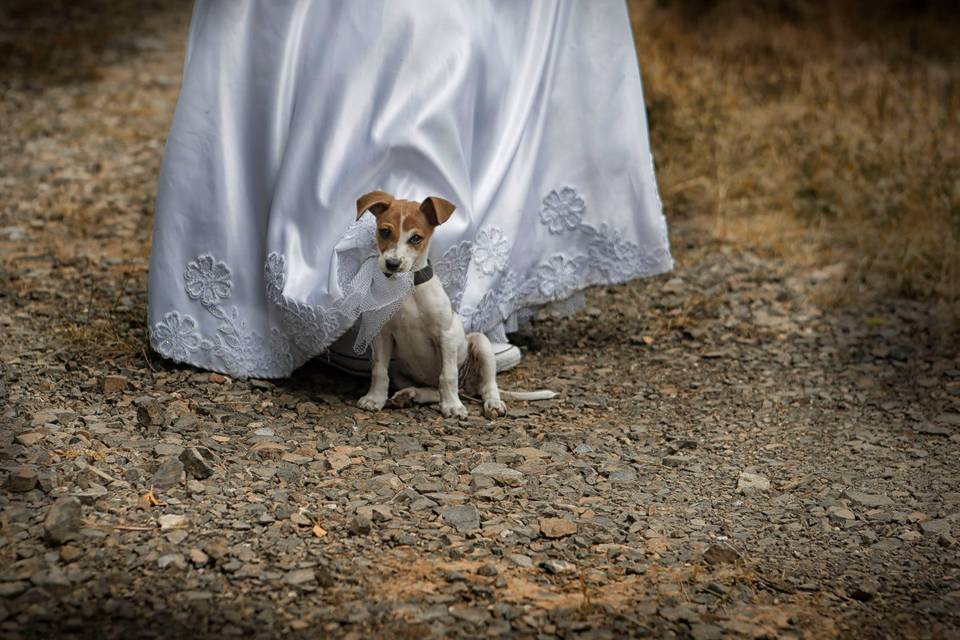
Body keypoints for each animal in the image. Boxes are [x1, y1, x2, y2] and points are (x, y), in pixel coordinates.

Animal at [354, 190, 556, 420]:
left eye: (416, 238)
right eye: (385, 231)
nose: (392, 264)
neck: (407, 289)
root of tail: (467, 387)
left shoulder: (447, 336)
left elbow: (448, 375)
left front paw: (452, 406)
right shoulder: (382, 335)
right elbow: (379, 370)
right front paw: (374, 399)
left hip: (481, 344)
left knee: (487, 385)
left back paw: (492, 403)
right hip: (400, 372)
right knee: (434, 391)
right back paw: (409, 395)